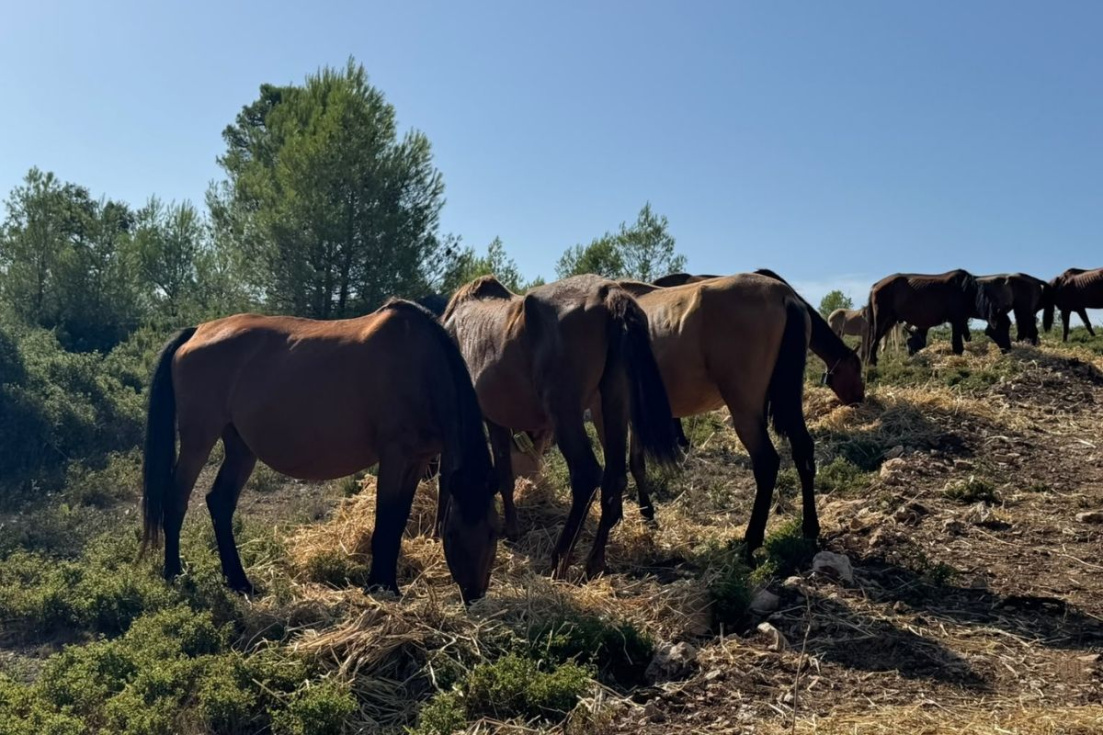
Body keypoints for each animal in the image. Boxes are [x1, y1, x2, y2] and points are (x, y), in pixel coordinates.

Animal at [141, 300, 498, 604]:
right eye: (452, 533)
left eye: (494, 531)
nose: (474, 594)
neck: (422, 365)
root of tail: (197, 331)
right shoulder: (395, 456)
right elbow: (385, 522)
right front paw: (379, 587)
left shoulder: (417, 459)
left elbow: (397, 522)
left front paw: (387, 585)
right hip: (198, 439)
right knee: (176, 498)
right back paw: (174, 572)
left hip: (240, 447)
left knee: (220, 502)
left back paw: (240, 582)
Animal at [441, 275, 680, 579]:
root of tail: (607, 293)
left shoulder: (492, 421)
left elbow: (500, 474)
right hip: (613, 401)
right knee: (614, 477)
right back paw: (595, 562)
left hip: (565, 411)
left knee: (587, 474)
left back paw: (560, 558)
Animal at [617, 274, 818, 558]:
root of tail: (784, 295)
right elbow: (635, 463)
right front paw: (647, 515)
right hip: (788, 399)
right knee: (803, 451)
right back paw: (810, 530)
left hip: (744, 407)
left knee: (767, 462)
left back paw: (750, 541)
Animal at [864, 270, 1009, 365]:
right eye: (1000, 328)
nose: (1008, 350)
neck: (968, 291)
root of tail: (876, 285)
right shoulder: (957, 321)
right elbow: (958, 345)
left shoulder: (962, 321)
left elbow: (967, 338)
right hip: (883, 319)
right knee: (875, 340)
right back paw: (872, 363)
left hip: (890, 320)